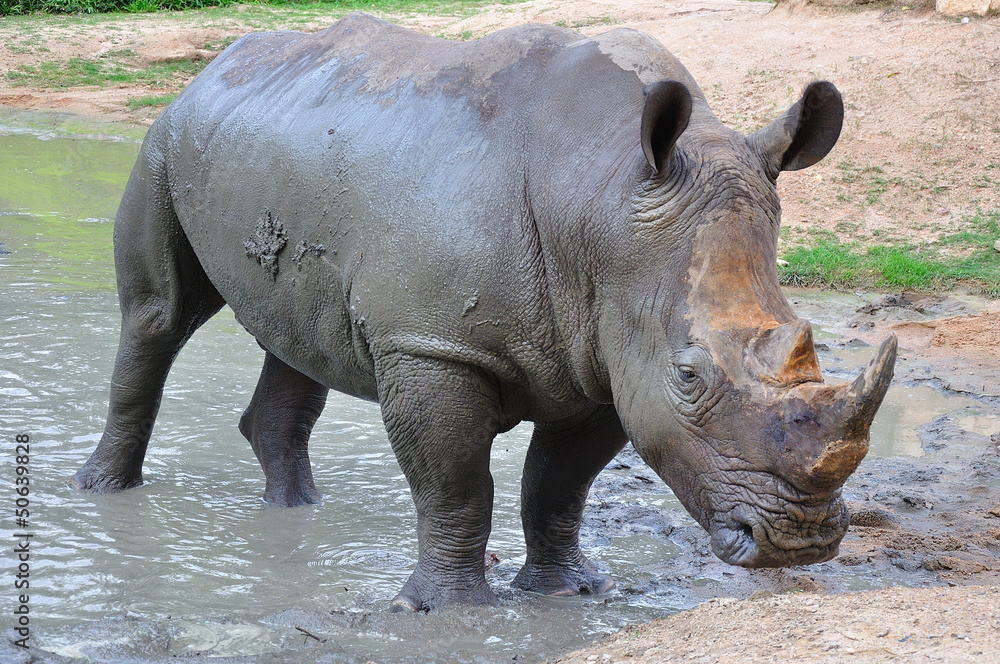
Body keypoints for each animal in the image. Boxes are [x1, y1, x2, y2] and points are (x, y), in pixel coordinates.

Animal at [72, 13, 896, 611]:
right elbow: (455, 481)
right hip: (166, 141)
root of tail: (211, 67)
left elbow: (559, 484)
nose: (801, 541)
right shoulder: (432, 345)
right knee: (159, 317)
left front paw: (569, 590)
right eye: (688, 375)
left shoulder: (607, 354)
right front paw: (445, 610)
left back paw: (295, 512)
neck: (601, 199)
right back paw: (102, 494)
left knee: (297, 336)